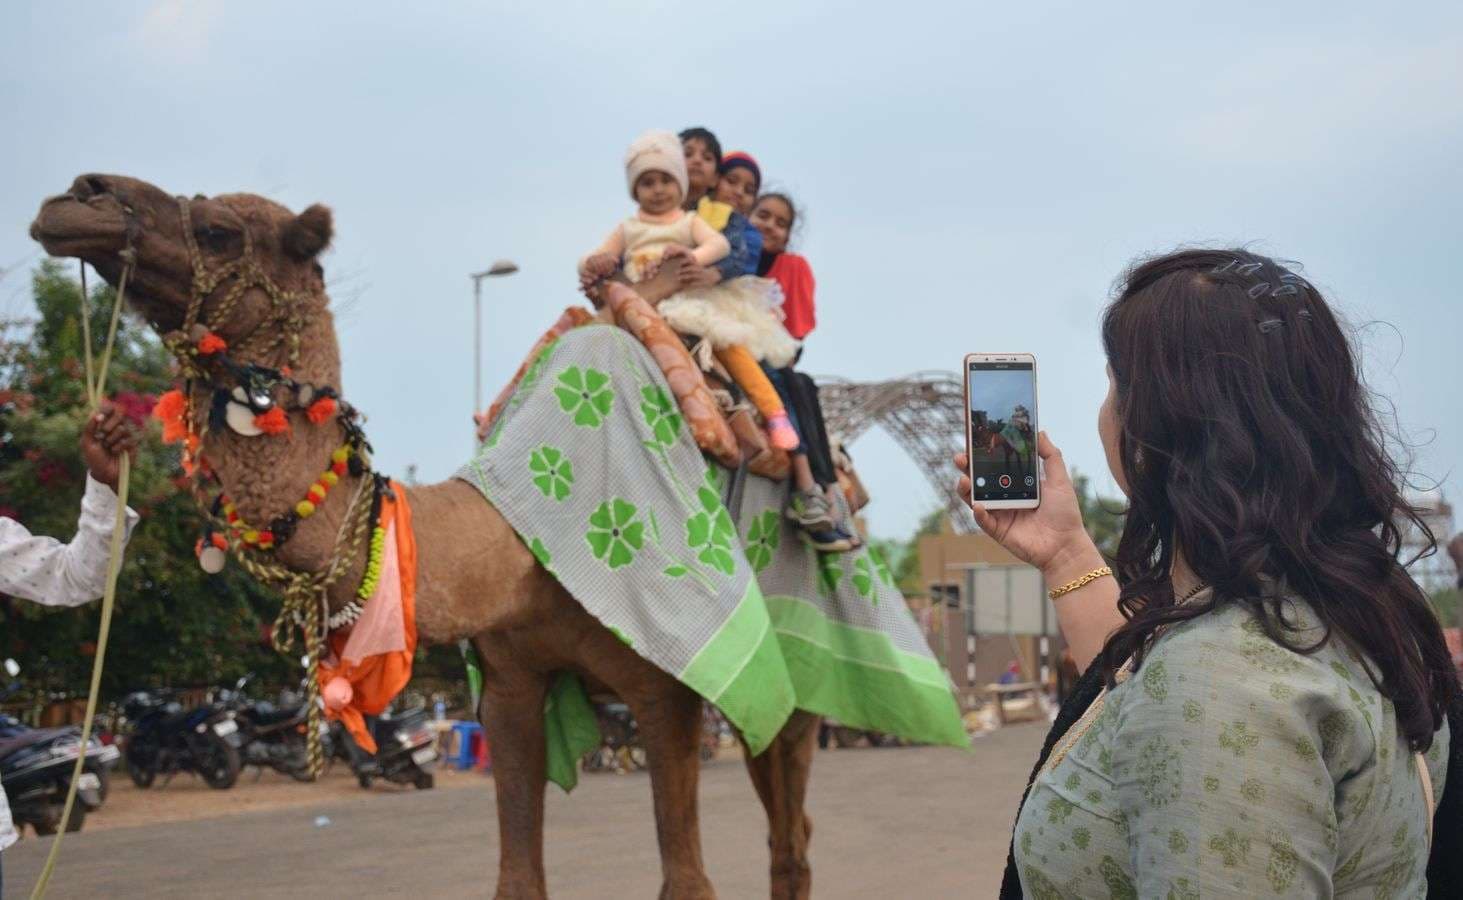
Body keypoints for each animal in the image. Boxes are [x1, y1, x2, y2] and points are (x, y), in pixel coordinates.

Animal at [28, 176, 819, 900]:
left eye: (219, 229)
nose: (77, 196)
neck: (516, 535)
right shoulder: (508, 687)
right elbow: (516, 877)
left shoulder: (670, 689)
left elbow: (687, 881)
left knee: (789, 837)